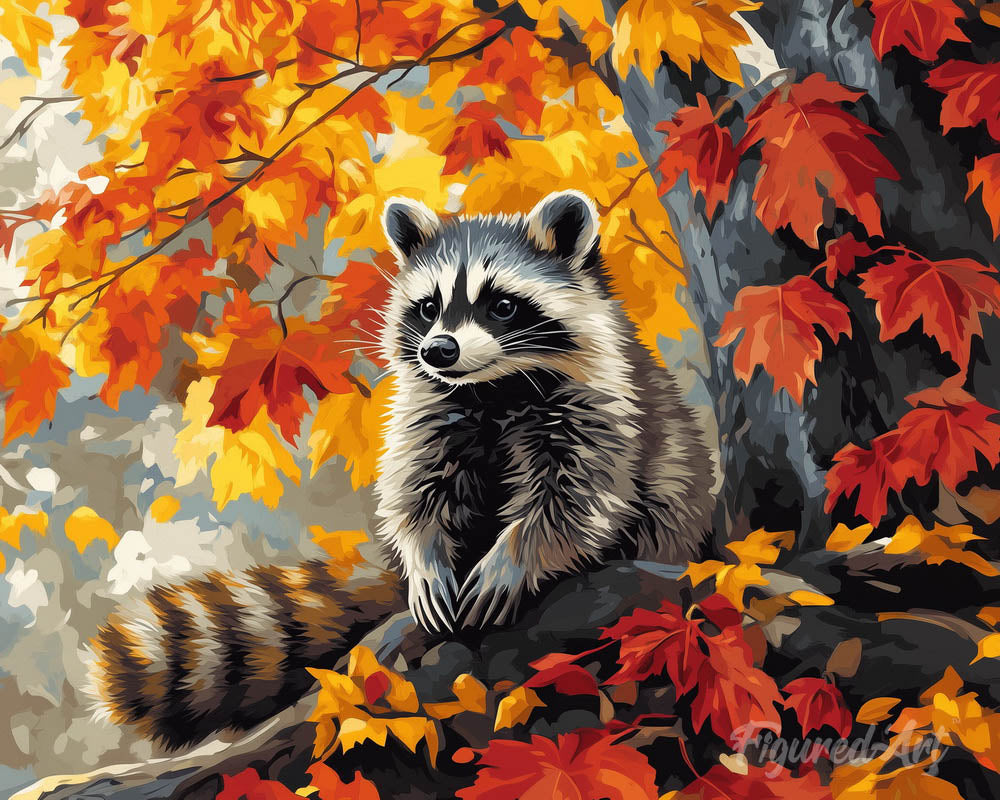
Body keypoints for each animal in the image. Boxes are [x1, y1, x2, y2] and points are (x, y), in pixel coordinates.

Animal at [86, 190, 713, 749]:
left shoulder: (599, 402)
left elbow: (576, 496)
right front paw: (425, 557)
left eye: (501, 305)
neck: (493, 387)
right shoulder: (431, 411)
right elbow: (419, 494)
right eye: (430, 306)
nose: (439, 350)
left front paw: (516, 554)